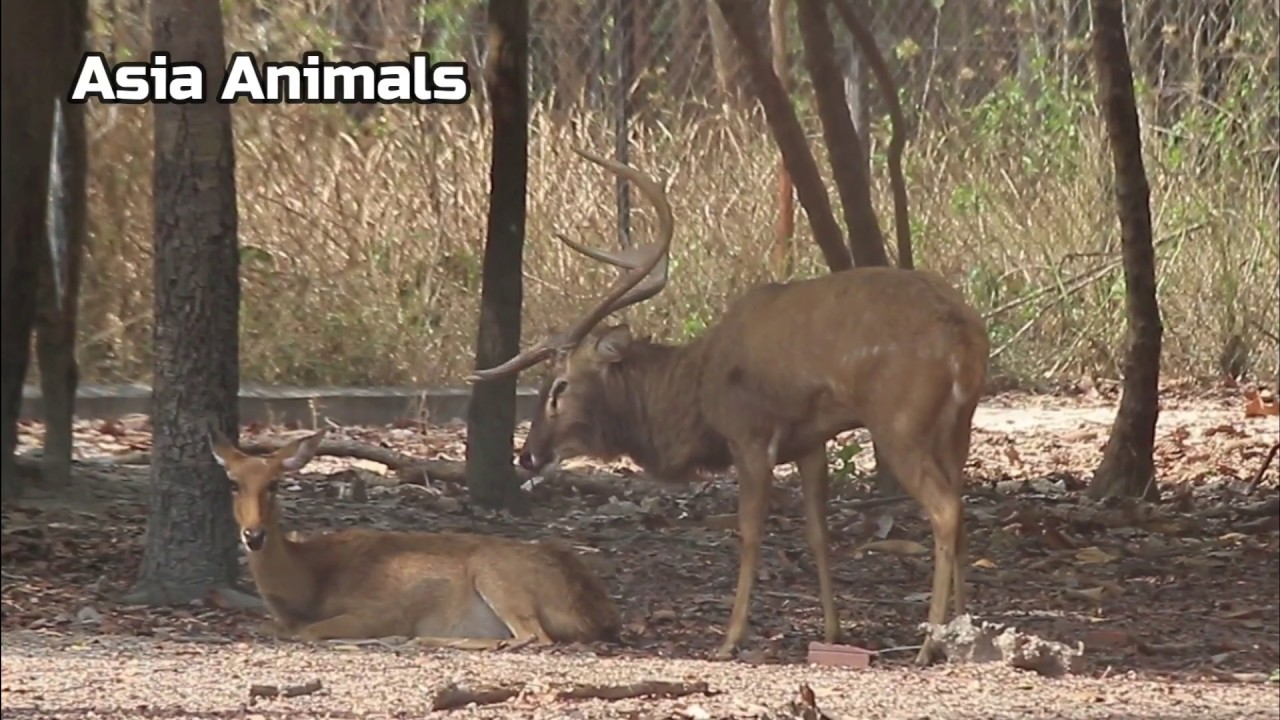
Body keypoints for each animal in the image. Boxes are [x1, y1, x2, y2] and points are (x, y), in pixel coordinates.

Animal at [209, 426, 622, 648]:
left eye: (275, 484)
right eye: (234, 483)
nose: (254, 535)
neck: (310, 583)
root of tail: (599, 614)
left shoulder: (380, 608)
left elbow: (308, 632)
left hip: (496, 573)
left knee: (533, 636)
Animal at [468, 147, 990, 665]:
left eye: (559, 386)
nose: (527, 454)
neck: (696, 394)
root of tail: (964, 336)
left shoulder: (750, 433)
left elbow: (750, 530)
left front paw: (729, 639)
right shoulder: (809, 439)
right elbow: (817, 532)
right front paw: (832, 630)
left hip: (900, 422)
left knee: (945, 509)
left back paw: (927, 646)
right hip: (958, 424)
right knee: (961, 508)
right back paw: (963, 632)